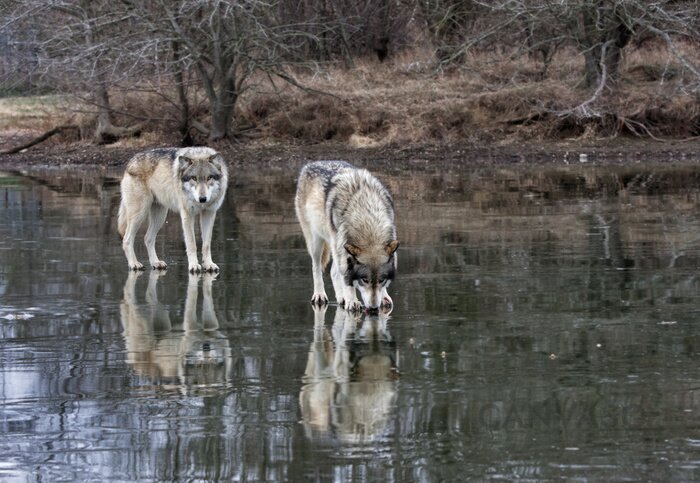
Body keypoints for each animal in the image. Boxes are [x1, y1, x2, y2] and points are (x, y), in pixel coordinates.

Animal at [116, 146, 228, 274]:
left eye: (209, 177)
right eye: (194, 178)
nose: (202, 199)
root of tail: (130, 161)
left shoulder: (209, 213)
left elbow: (206, 244)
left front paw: (208, 264)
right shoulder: (187, 215)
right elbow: (192, 244)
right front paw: (194, 265)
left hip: (160, 216)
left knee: (147, 238)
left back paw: (156, 262)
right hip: (139, 215)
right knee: (127, 239)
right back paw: (134, 264)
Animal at [294, 162, 400, 314]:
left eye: (382, 280)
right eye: (364, 280)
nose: (374, 308)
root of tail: (309, 165)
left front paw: (384, 297)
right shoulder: (343, 247)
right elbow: (346, 278)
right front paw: (352, 300)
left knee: (333, 272)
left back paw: (341, 297)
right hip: (317, 243)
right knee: (316, 267)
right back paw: (320, 295)